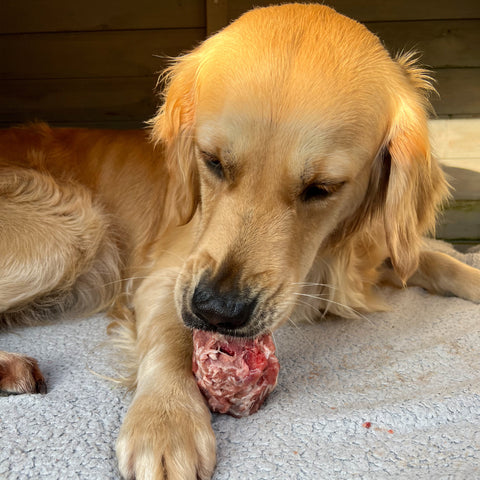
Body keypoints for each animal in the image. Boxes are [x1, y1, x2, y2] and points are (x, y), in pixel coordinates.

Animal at [0, 4, 480, 480]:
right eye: (211, 161)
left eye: (322, 188)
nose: (217, 311)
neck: (325, 254)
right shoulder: (166, 275)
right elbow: (171, 339)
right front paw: (166, 421)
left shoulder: (374, 250)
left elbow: (437, 261)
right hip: (69, 232)